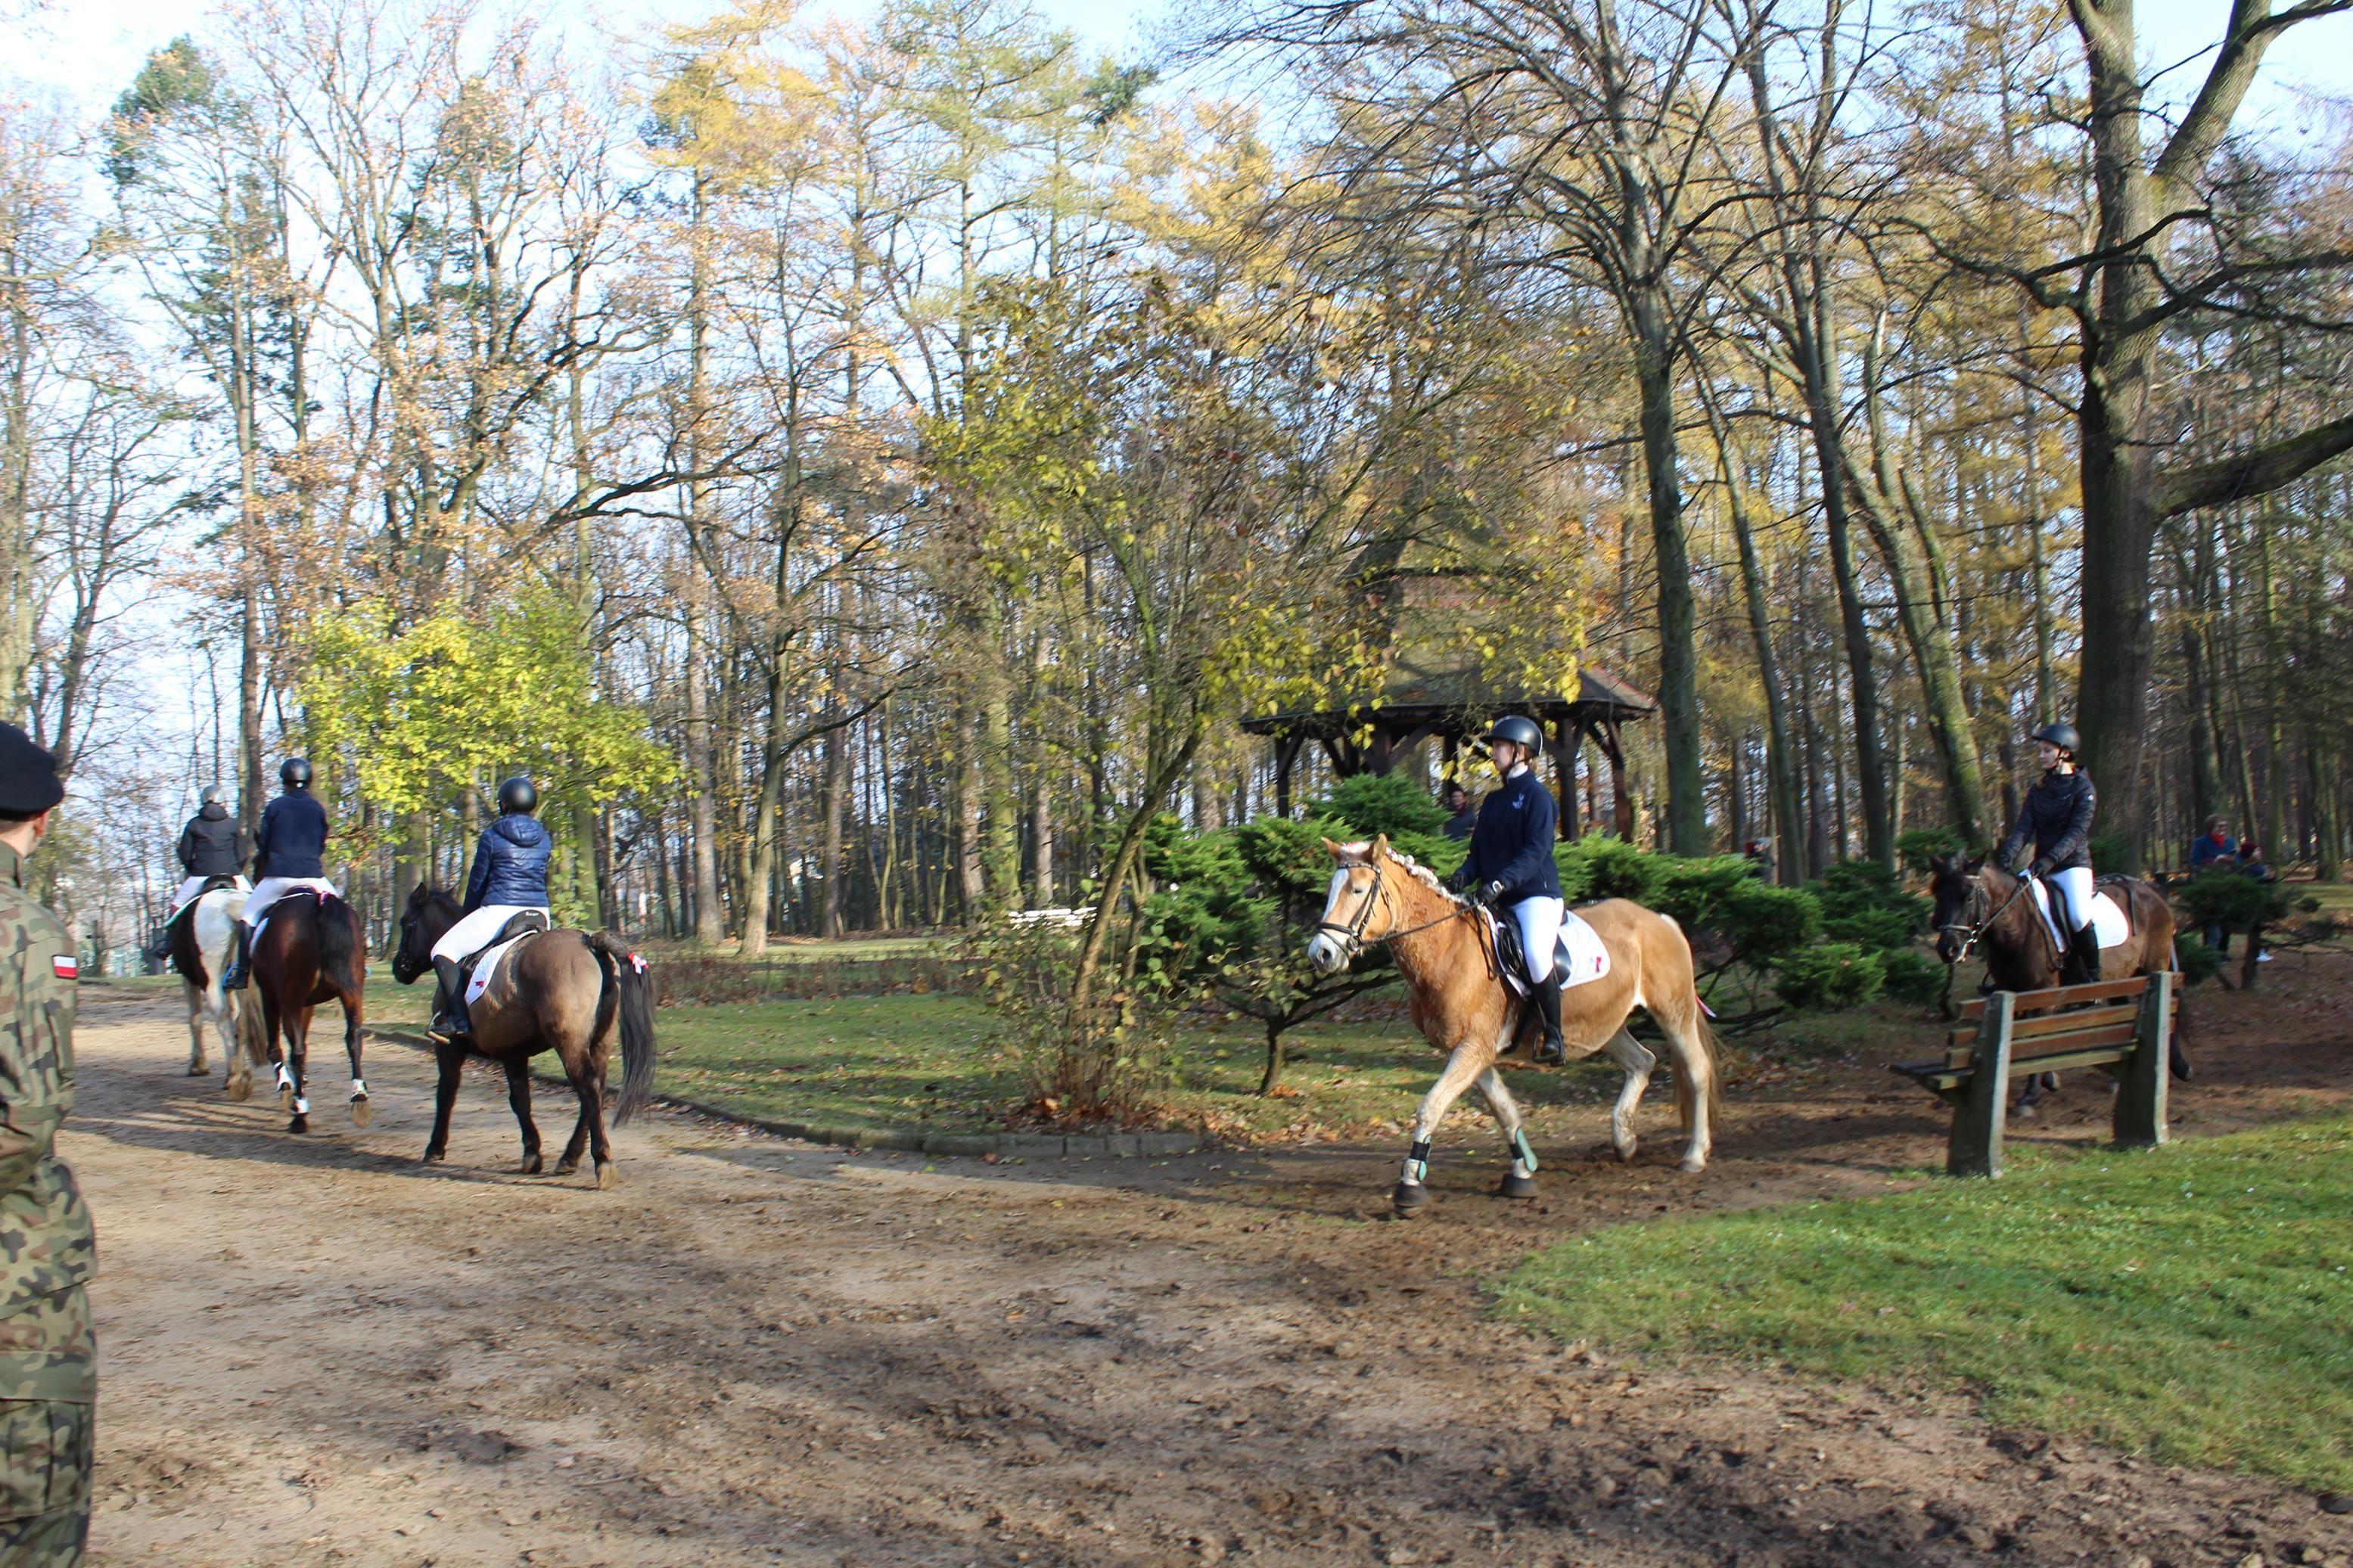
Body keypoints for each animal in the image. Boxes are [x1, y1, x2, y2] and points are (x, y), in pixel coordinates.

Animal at [162, 883, 268, 1091]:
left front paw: (198, 1066)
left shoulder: (189, 981)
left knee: (223, 1017)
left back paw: (235, 1077)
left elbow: (195, 1020)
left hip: (211, 982)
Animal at [245, 888, 369, 1133]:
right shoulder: (307, 1004)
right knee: (354, 1038)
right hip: (351, 992)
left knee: (298, 1052)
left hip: (290, 999)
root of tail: (319, 905)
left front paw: (286, 1085)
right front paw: (299, 1081)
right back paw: (359, 1097)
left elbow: (275, 1047)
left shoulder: (272, 998)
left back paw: (300, 1112)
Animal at [390, 883, 654, 1189]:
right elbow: (521, 1099)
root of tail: (590, 944)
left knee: (588, 1086)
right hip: (600, 1042)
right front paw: (532, 1152)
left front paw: (435, 1148)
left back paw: (602, 1160)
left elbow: (446, 1093)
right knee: (594, 1090)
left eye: (406, 922)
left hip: (570, 1043)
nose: (398, 967)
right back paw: (570, 1158)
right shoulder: (512, 1053)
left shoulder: (449, 1050)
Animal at [1308, 841, 1731, 1222]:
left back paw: (1694, 1154)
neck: (1447, 949)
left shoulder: (1474, 1048)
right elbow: (1503, 1109)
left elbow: (1431, 1106)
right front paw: (1523, 1171)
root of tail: (1660, 919)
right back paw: (1624, 1141)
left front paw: (1410, 1185)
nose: (1321, 954)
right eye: (1331, 890)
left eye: (1357, 890)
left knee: (1696, 1070)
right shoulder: (1469, 1051)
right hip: (1604, 1026)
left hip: (1673, 1011)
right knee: (1643, 1061)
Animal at [1929, 860, 2184, 1114]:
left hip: (2153, 968)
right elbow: (2020, 1039)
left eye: (1969, 897)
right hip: (2120, 980)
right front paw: (2044, 1080)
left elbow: (2034, 1037)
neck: (2018, 926)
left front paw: (2030, 1095)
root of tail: (2153, 892)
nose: (1947, 950)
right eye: (1939, 896)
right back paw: (2117, 1080)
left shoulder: (2041, 994)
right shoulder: (2012, 994)